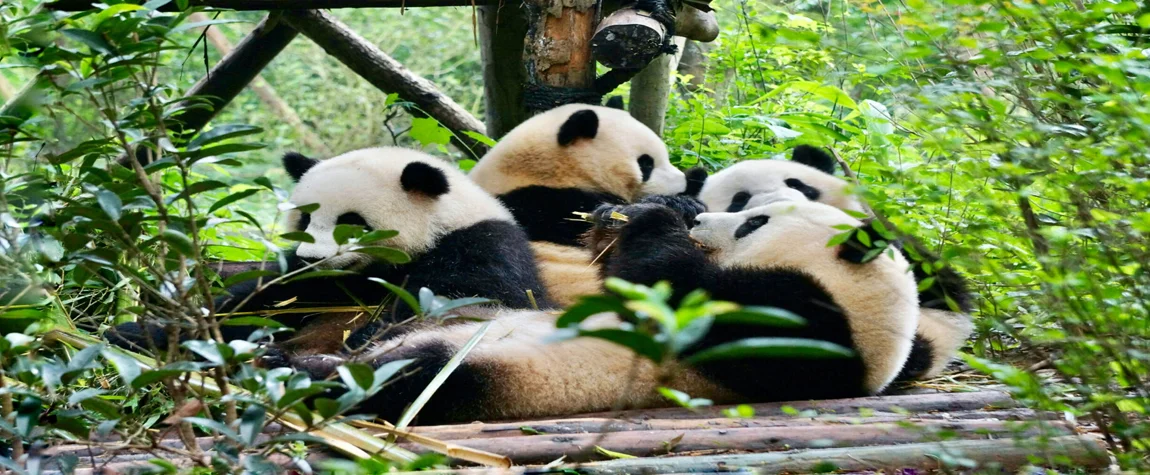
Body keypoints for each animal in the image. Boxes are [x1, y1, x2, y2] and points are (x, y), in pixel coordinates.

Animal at [109, 146, 549, 354]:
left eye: (351, 222)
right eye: (304, 221)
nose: (312, 260)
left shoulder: (480, 246)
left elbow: (464, 299)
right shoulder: (308, 282)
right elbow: (260, 301)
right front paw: (147, 331)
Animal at [285, 200, 915, 420]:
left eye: (755, 219)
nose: (702, 218)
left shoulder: (805, 331)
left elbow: (685, 302)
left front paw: (655, 222)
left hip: (479, 372)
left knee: (407, 380)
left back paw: (296, 372)